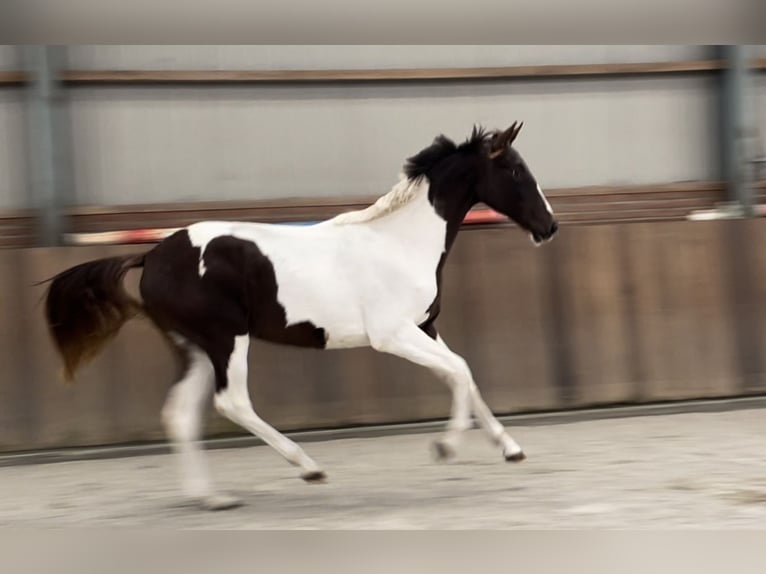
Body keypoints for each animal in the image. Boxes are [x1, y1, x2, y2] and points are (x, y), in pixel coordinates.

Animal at [42, 124, 560, 510]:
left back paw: (212, 498)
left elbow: (464, 375)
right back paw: (309, 467)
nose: (550, 226)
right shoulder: (392, 334)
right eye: (515, 170)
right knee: (232, 403)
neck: (400, 243)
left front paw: (510, 448)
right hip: (226, 339)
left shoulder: (425, 327)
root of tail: (151, 256)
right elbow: (459, 372)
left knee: (179, 413)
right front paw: (445, 447)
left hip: (192, 348)